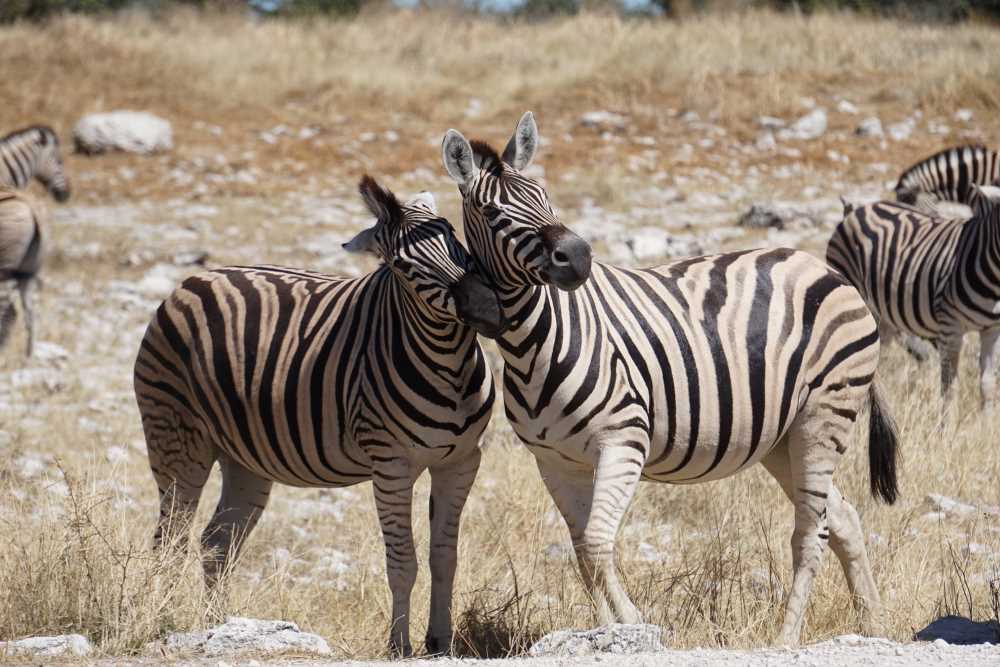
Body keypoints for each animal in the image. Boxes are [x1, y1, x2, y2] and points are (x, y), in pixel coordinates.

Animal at [135, 174, 508, 656]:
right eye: (402, 267)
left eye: (456, 239)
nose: (487, 310)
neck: (450, 367)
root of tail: (189, 282)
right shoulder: (390, 464)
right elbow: (403, 560)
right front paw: (399, 644)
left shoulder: (461, 460)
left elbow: (445, 555)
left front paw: (440, 641)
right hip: (176, 439)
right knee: (170, 540)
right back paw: (163, 621)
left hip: (245, 457)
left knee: (215, 543)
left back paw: (219, 629)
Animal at [438, 112, 900, 644]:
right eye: (493, 213)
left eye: (544, 195)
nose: (579, 256)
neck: (535, 340)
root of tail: (828, 270)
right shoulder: (554, 461)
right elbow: (582, 552)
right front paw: (604, 633)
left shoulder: (623, 441)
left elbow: (596, 544)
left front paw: (633, 624)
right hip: (782, 437)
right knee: (841, 518)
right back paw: (874, 625)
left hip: (823, 414)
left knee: (810, 531)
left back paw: (786, 638)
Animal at [824, 185, 1000, 410]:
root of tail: (857, 210)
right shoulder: (950, 326)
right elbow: (949, 386)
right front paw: (947, 420)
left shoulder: (992, 330)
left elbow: (987, 384)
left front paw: (985, 418)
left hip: (883, 315)